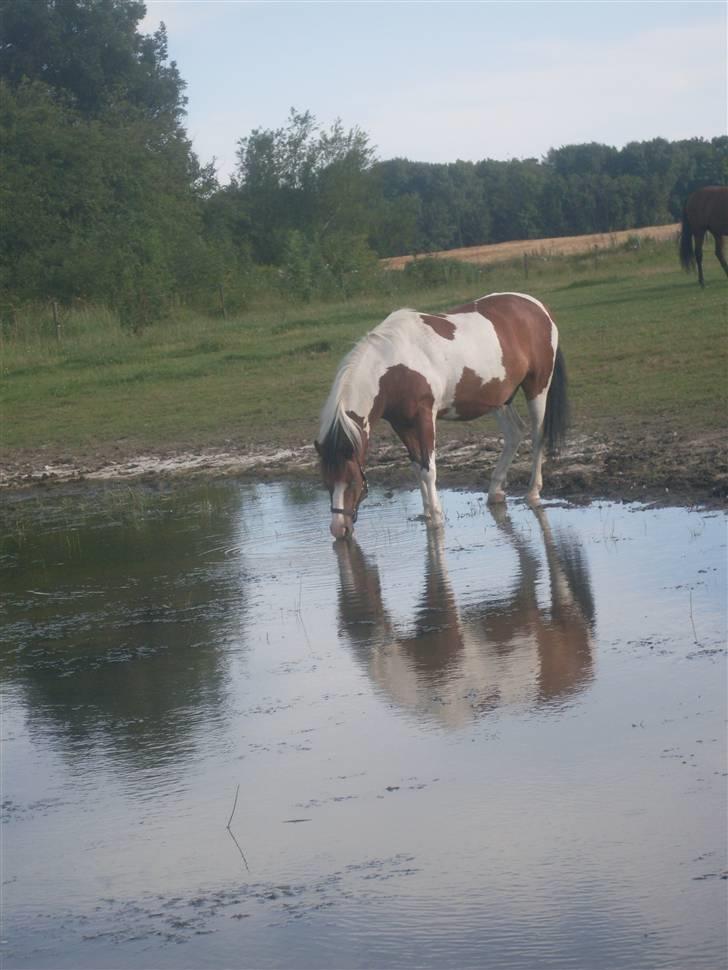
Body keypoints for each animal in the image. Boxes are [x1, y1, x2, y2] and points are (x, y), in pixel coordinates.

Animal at [312, 292, 568, 540]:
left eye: (352, 481)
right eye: (325, 481)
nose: (339, 529)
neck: (392, 366)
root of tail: (539, 307)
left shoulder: (424, 417)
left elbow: (428, 469)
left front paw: (436, 516)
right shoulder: (402, 424)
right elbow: (417, 467)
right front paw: (426, 512)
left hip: (537, 387)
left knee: (538, 436)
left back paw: (533, 492)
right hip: (500, 399)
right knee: (514, 434)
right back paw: (495, 491)